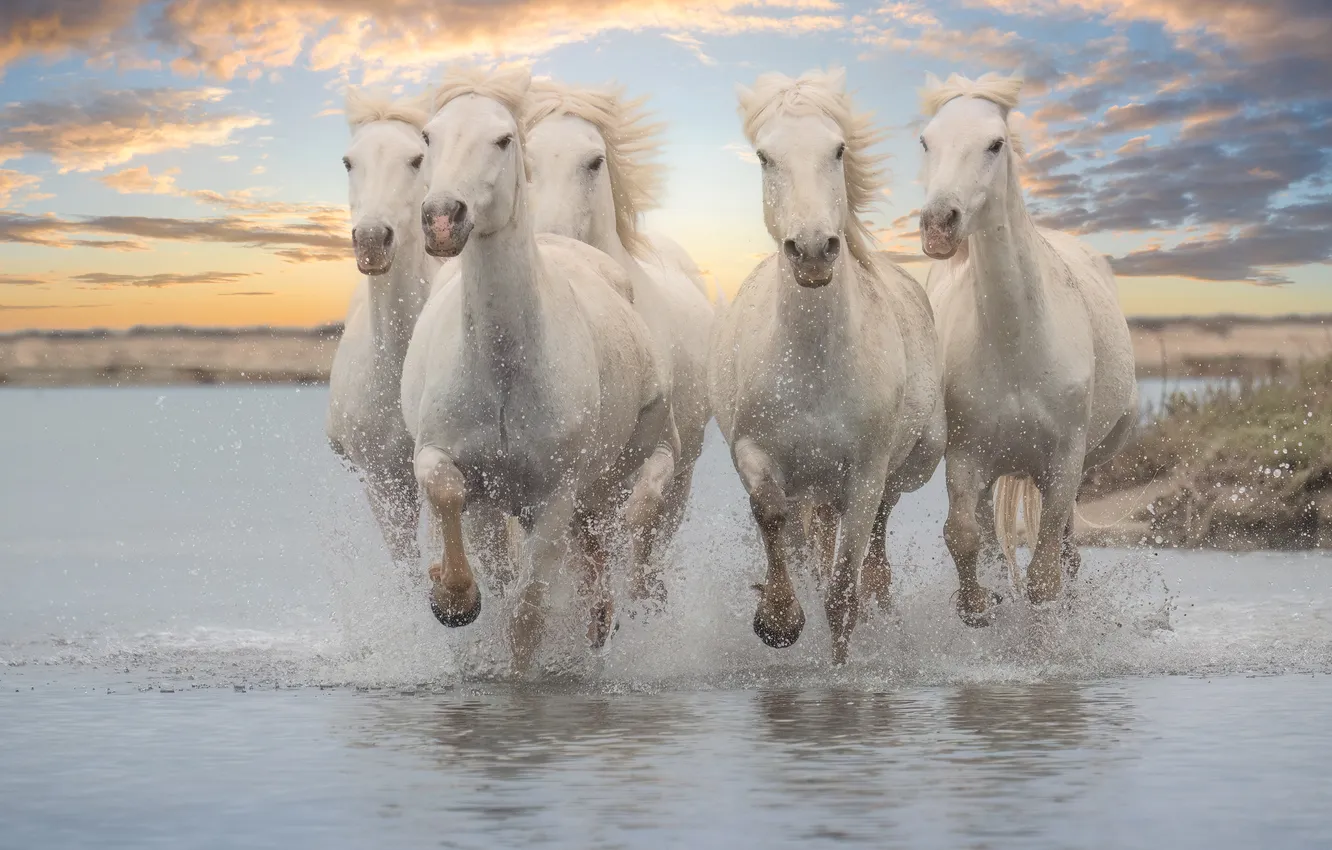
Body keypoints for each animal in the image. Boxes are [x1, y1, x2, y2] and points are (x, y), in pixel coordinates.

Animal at [399, 66, 673, 673]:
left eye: (504, 140)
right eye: (428, 138)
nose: (441, 219)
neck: (504, 368)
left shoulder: (556, 495)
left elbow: (527, 615)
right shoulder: (454, 466)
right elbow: (446, 491)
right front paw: (452, 598)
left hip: (630, 456)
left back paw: (599, 618)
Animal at [523, 80, 716, 602]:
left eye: (594, 161)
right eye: (524, 161)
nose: (552, 246)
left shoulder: (662, 453)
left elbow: (640, 514)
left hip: (686, 477)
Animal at [709, 68, 946, 664]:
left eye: (838, 149)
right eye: (764, 156)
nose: (814, 250)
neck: (813, 364)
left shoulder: (863, 475)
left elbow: (842, 595)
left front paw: (838, 669)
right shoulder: (754, 451)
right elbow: (771, 515)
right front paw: (777, 619)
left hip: (912, 461)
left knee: (879, 530)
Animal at [918, 72, 1137, 622]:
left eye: (995, 143)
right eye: (926, 141)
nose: (938, 225)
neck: (1016, 345)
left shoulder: (1064, 461)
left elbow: (1043, 577)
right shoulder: (966, 458)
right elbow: (965, 539)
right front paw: (982, 605)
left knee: (1065, 547)